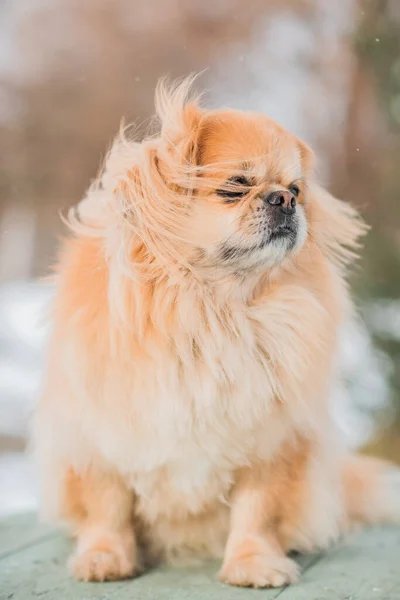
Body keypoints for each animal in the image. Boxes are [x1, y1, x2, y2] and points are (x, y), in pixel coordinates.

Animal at [32, 77, 398, 588]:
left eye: (296, 190)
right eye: (234, 188)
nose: (284, 200)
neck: (213, 309)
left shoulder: (272, 444)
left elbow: (257, 510)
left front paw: (253, 563)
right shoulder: (101, 437)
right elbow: (108, 506)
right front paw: (105, 557)